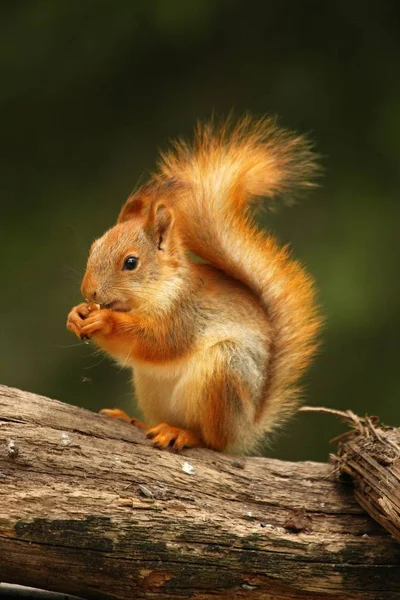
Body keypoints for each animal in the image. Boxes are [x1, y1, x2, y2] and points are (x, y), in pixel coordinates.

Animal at [67, 117, 320, 452]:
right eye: (94, 248)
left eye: (131, 263)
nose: (89, 292)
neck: (159, 288)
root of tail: (245, 430)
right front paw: (76, 314)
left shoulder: (186, 313)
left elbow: (159, 341)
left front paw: (105, 320)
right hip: (150, 386)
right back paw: (135, 421)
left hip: (226, 371)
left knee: (211, 441)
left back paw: (183, 434)